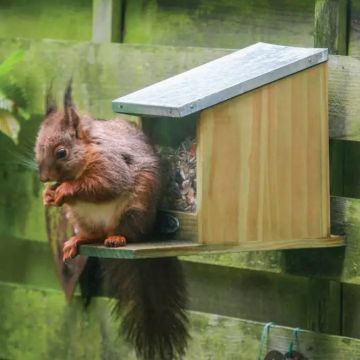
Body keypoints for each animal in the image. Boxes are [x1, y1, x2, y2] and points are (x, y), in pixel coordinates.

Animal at [35, 83, 190, 358]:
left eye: (62, 152)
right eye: (37, 146)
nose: (43, 177)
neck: (88, 150)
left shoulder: (112, 164)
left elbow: (104, 185)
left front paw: (64, 190)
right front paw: (48, 195)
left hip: (135, 209)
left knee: (127, 231)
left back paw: (117, 238)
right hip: (82, 218)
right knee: (94, 234)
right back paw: (76, 241)